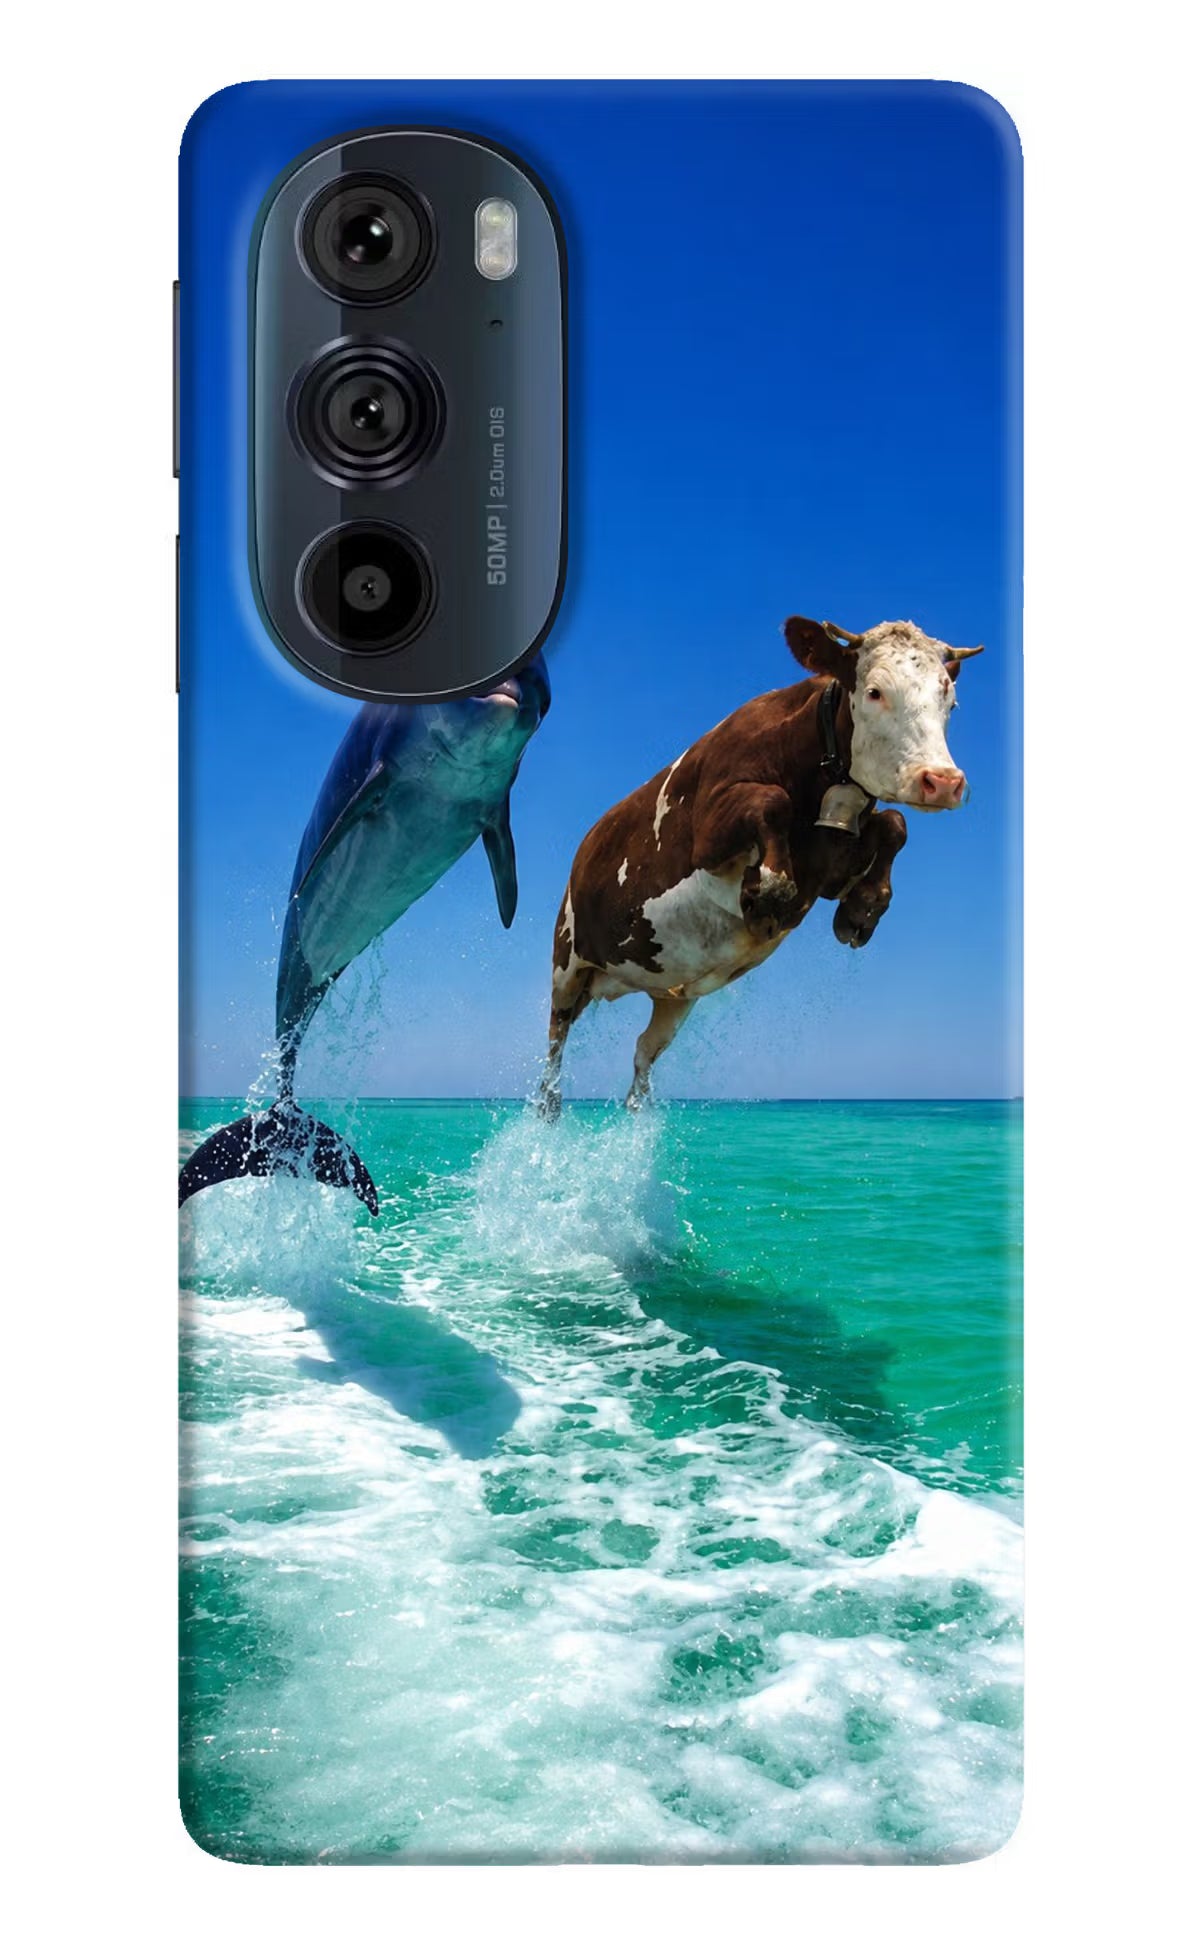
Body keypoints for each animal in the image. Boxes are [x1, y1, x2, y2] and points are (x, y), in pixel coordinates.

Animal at [537, 615, 983, 1116]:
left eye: (950, 699)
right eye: (874, 691)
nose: (942, 781)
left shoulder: (830, 866)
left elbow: (894, 823)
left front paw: (862, 909)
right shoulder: (708, 833)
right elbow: (772, 802)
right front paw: (768, 892)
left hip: (672, 995)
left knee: (643, 1053)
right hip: (567, 961)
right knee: (554, 1042)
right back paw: (549, 1106)